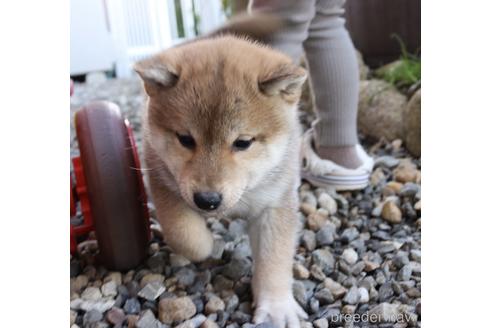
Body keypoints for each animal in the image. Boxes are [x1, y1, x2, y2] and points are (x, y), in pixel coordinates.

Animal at [135, 23, 308, 328]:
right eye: (185, 139)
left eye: (243, 142)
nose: (207, 200)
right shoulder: (163, 182)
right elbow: (185, 236)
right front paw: (208, 244)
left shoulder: (274, 205)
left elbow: (274, 259)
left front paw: (276, 308)